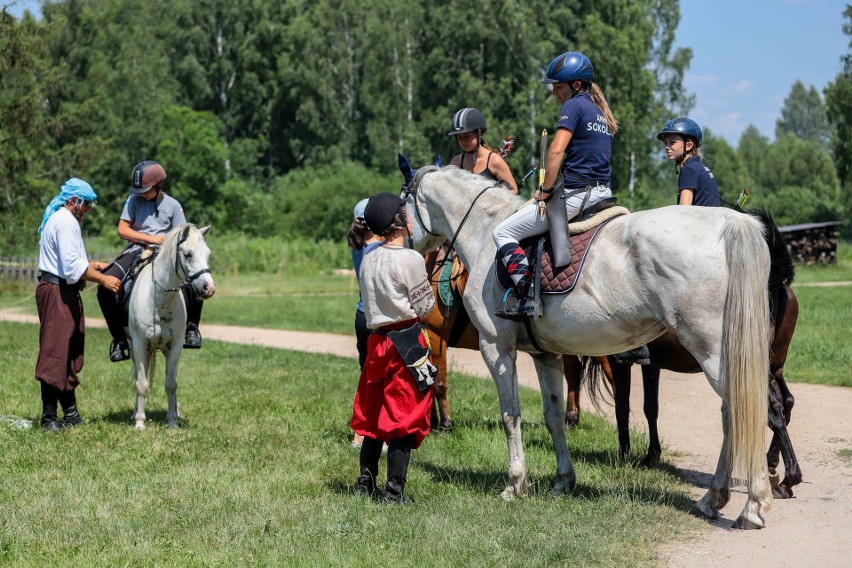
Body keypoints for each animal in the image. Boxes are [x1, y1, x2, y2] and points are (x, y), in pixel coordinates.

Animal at [129, 224, 218, 428]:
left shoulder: (175, 347)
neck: (159, 300)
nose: (209, 288)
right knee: (139, 377)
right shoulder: (139, 345)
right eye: (188, 254)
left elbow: (171, 385)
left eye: (208, 254)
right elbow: (142, 384)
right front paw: (140, 422)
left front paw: (172, 421)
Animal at [404, 166, 772, 532]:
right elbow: (553, 417)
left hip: (711, 351)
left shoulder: (496, 348)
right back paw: (716, 498)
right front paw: (563, 480)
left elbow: (511, 416)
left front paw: (515, 484)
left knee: (742, 408)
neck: (485, 231)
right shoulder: (545, 355)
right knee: (733, 413)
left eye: (402, 204)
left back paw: (751, 505)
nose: (408, 250)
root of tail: (727, 221)